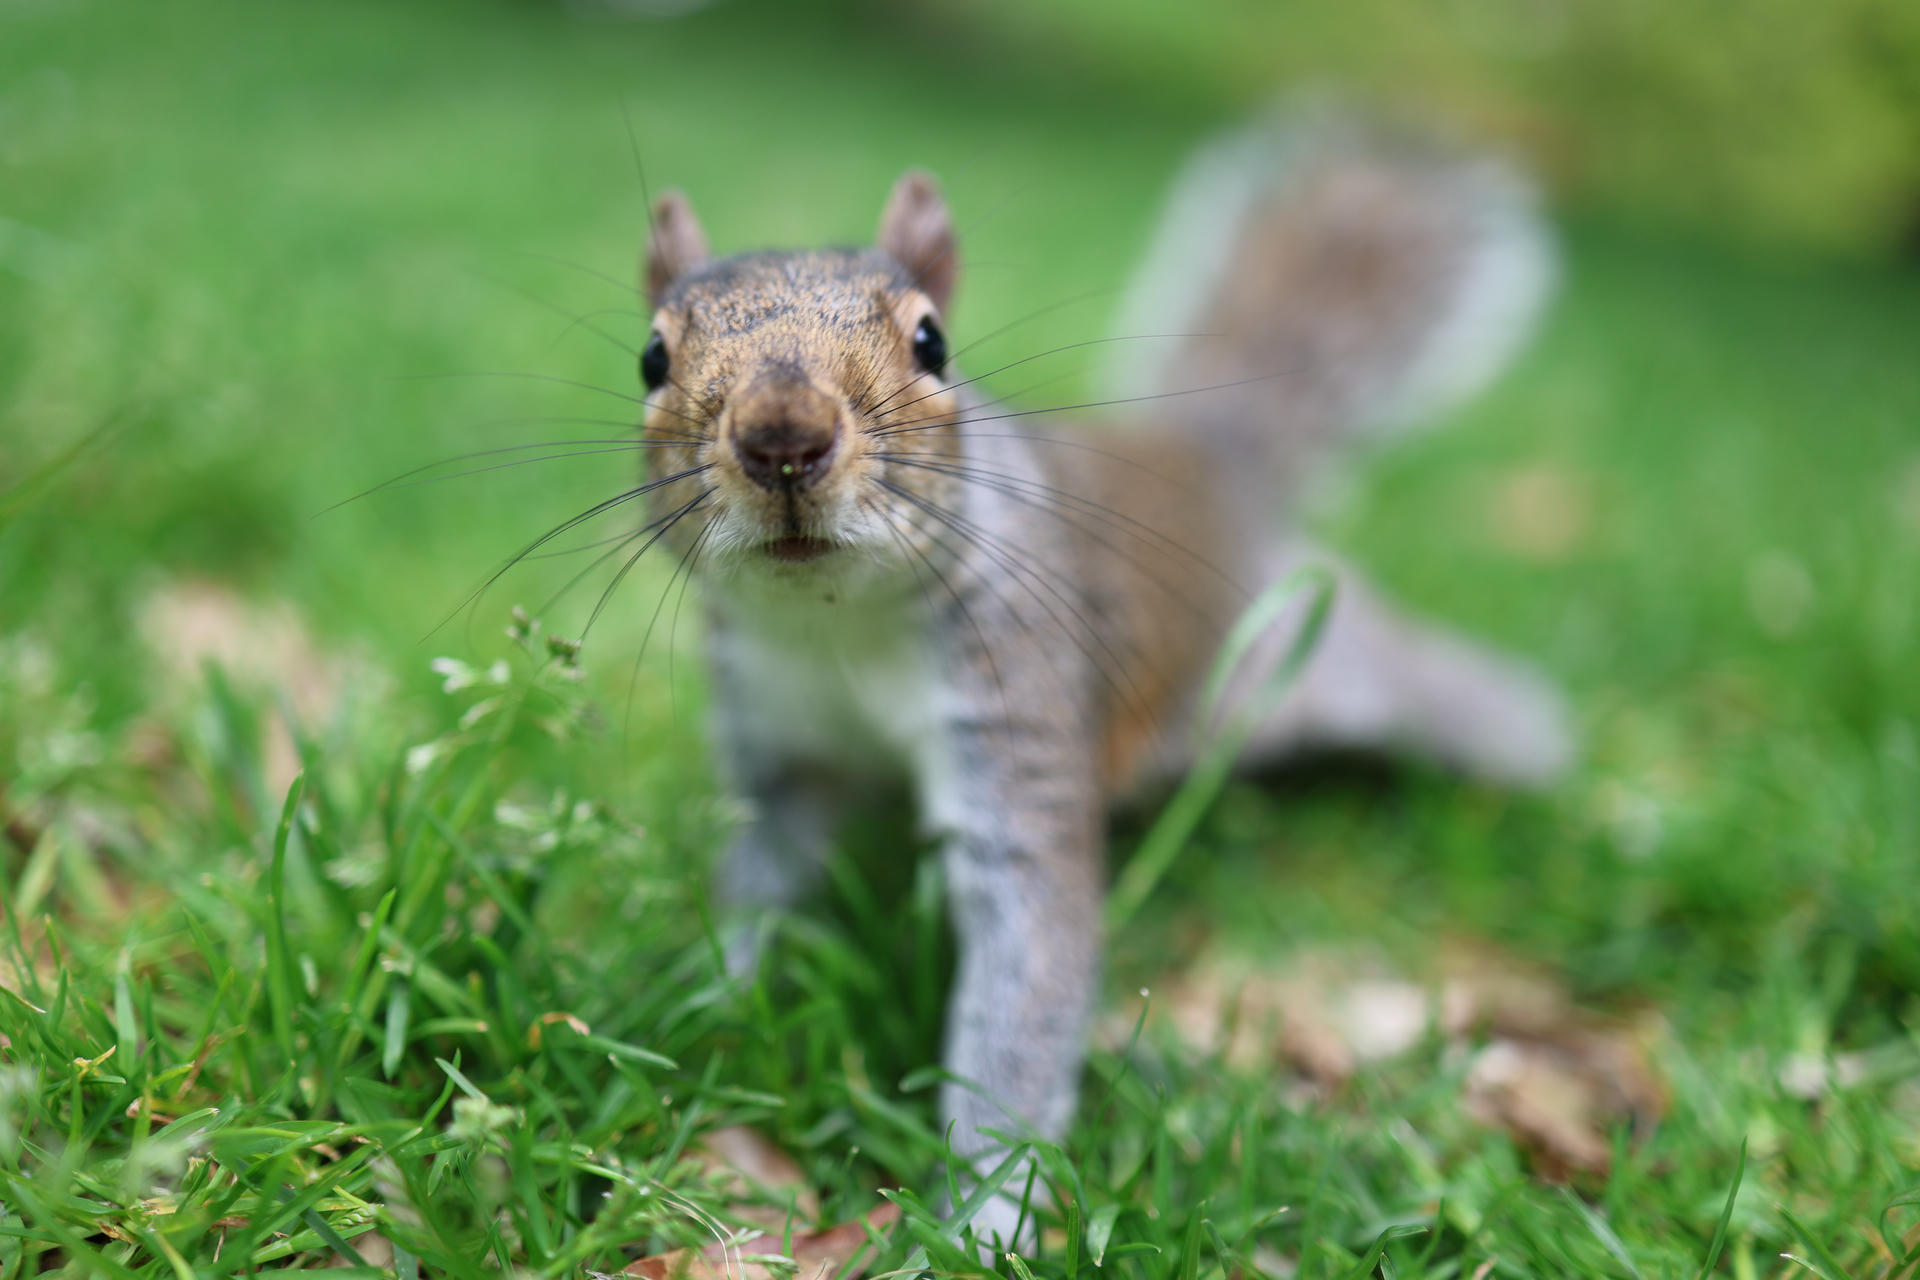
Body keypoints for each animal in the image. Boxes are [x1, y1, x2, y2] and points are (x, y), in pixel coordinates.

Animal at [630, 108, 1571, 1247]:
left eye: (932, 340)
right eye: (651, 354)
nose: (782, 438)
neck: (835, 625)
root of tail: (1206, 461)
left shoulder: (1021, 708)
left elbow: (1023, 992)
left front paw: (983, 1219)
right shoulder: (781, 747)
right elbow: (763, 882)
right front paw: (704, 997)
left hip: (1303, 647)